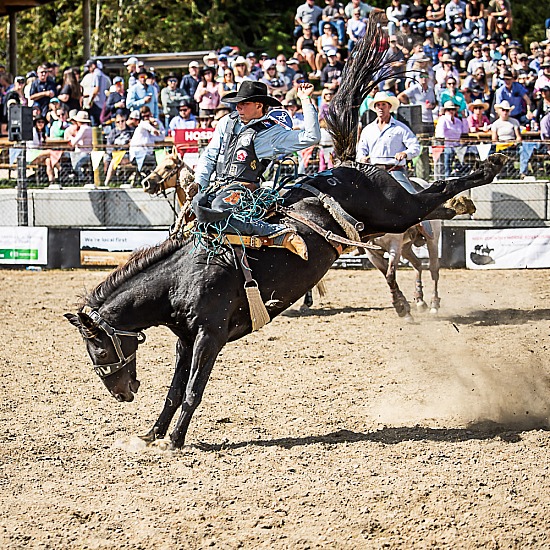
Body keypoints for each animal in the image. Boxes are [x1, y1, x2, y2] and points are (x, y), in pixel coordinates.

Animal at [64, 17, 504, 450]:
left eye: (97, 345)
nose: (122, 393)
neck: (181, 277)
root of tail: (344, 164)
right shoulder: (185, 339)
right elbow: (174, 389)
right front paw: (151, 434)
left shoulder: (209, 335)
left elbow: (193, 389)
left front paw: (174, 439)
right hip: (387, 222)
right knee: (431, 201)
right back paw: (461, 208)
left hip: (394, 212)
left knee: (436, 196)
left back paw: (488, 169)